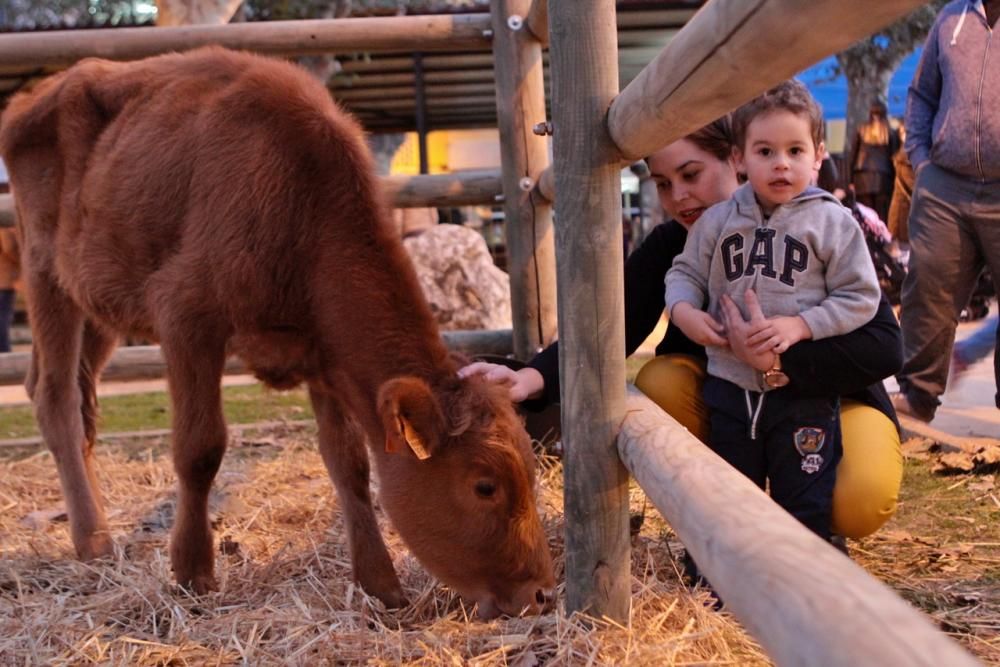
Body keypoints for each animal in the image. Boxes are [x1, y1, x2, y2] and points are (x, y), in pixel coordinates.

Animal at [0, 48, 560, 620]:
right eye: (485, 485)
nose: (541, 594)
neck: (299, 203)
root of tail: (41, 90)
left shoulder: (323, 354)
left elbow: (349, 464)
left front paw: (380, 583)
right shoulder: (185, 315)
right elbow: (200, 449)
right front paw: (192, 572)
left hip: (100, 301)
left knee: (74, 394)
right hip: (44, 271)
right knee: (56, 397)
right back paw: (93, 540)